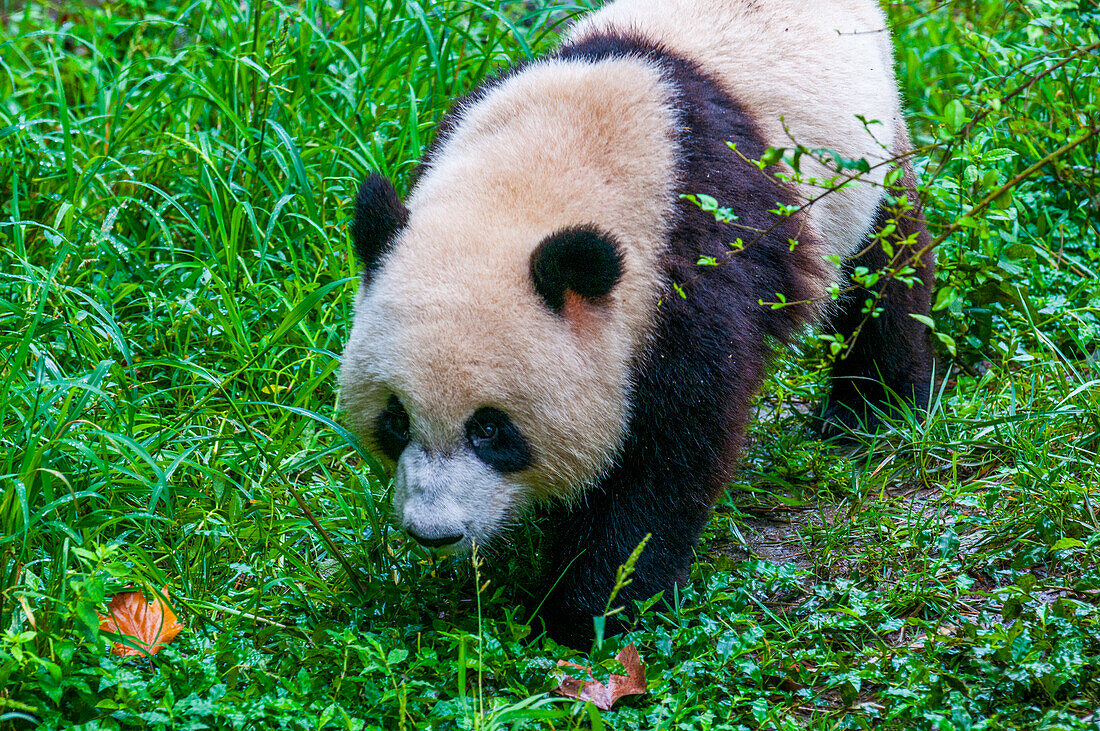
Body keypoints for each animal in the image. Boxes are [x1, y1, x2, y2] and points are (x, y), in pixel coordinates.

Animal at [338, 0, 932, 646]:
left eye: (491, 430)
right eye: (395, 420)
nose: (433, 532)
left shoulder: (688, 270)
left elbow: (666, 455)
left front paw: (591, 610)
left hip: (869, 152)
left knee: (887, 270)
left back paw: (873, 408)